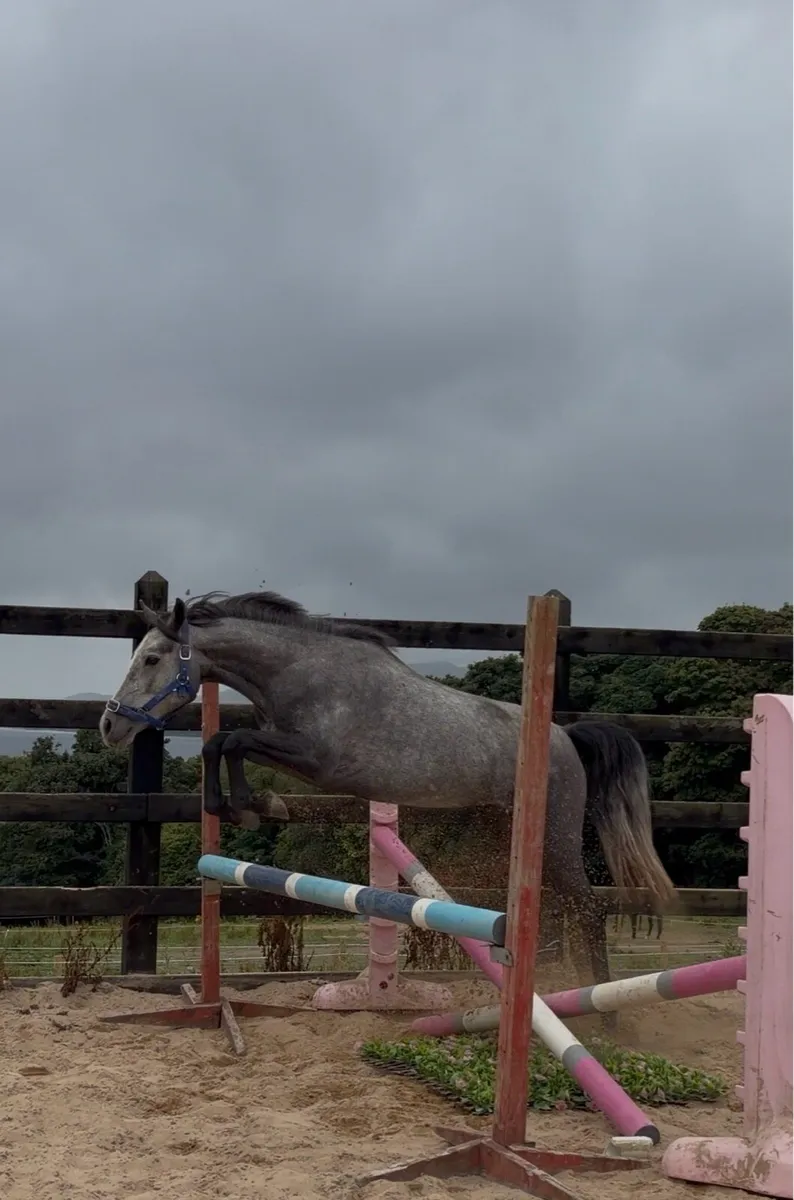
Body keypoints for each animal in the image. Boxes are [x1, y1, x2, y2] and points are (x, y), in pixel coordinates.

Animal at [100, 589, 676, 988]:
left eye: (152, 659)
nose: (110, 727)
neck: (300, 670)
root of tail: (564, 737)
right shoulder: (290, 750)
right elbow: (219, 743)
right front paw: (245, 805)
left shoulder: (316, 759)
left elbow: (232, 739)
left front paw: (251, 805)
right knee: (559, 912)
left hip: (556, 834)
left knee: (589, 909)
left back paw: (604, 1011)